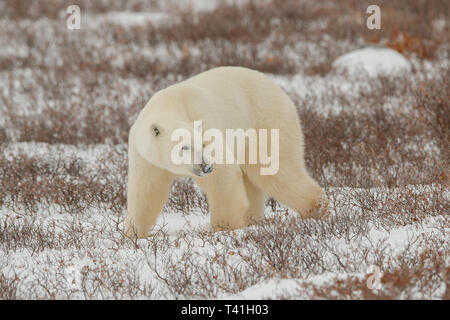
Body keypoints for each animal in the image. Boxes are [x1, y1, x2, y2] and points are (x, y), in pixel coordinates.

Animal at [124, 67, 326, 238]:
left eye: (202, 144)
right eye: (184, 146)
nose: (206, 167)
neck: (170, 104)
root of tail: (280, 89)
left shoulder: (204, 121)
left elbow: (222, 177)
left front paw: (222, 228)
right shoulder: (146, 157)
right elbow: (147, 191)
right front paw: (133, 234)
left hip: (266, 123)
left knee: (277, 170)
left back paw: (316, 208)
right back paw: (252, 219)